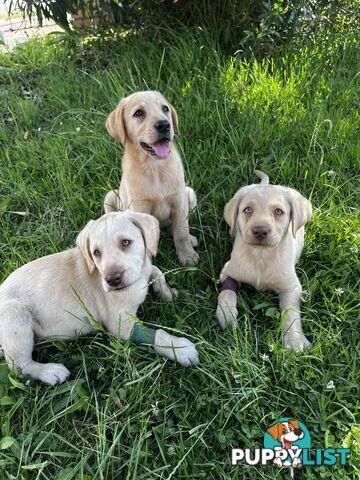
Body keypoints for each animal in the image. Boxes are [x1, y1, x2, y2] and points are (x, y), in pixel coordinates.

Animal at [0, 212, 200, 384]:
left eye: (125, 242)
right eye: (96, 252)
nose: (112, 279)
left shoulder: (144, 270)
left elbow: (156, 270)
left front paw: (167, 292)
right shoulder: (120, 325)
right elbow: (155, 333)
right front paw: (178, 348)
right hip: (14, 313)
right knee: (18, 366)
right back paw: (50, 372)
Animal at [104, 90, 200, 266]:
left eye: (165, 109)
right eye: (138, 113)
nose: (164, 125)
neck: (155, 167)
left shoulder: (179, 201)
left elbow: (181, 232)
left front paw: (188, 256)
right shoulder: (139, 208)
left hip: (189, 193)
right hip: (110, 197)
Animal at [217, 171, 312, 350]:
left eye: (278, 211)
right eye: (247, 210)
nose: (260, 231)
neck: (260, 256)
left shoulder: (291, 287)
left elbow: (291, 312)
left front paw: (295, 340)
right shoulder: (227, 271)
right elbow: (226, 293)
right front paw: (226, 315)